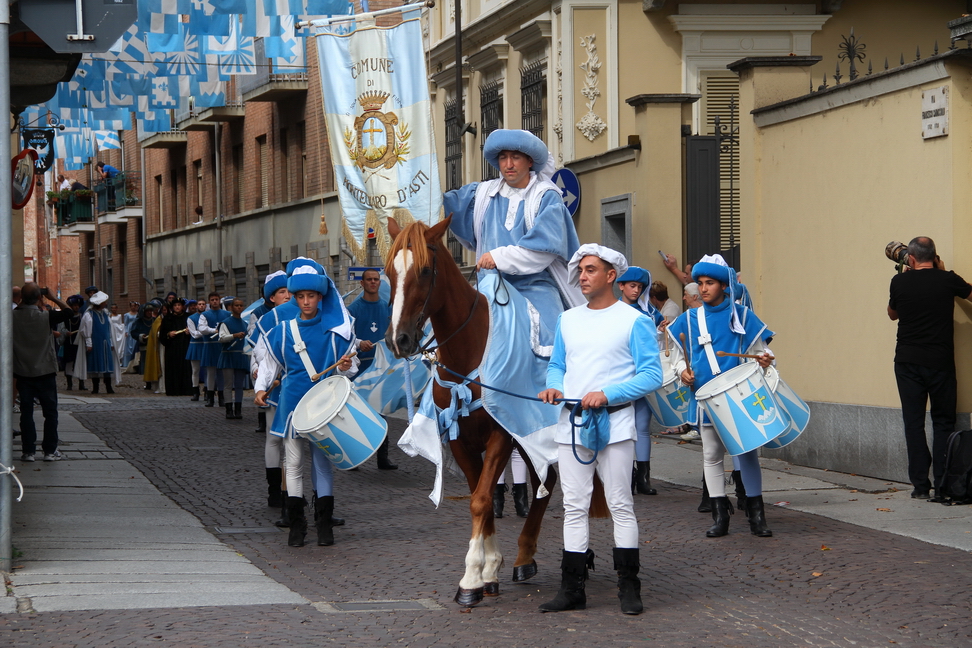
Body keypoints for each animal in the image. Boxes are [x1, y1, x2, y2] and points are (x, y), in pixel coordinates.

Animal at [384, 216, 560, 608]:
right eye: (389, 272)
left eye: (425, 270)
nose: (398, 340)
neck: (468, 352)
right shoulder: (460, 440)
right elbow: (481, 496)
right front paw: (488, 572)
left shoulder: (502, 435)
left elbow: (480, 500)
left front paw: (470, 578)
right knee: (547, 480)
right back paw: (524, 557)